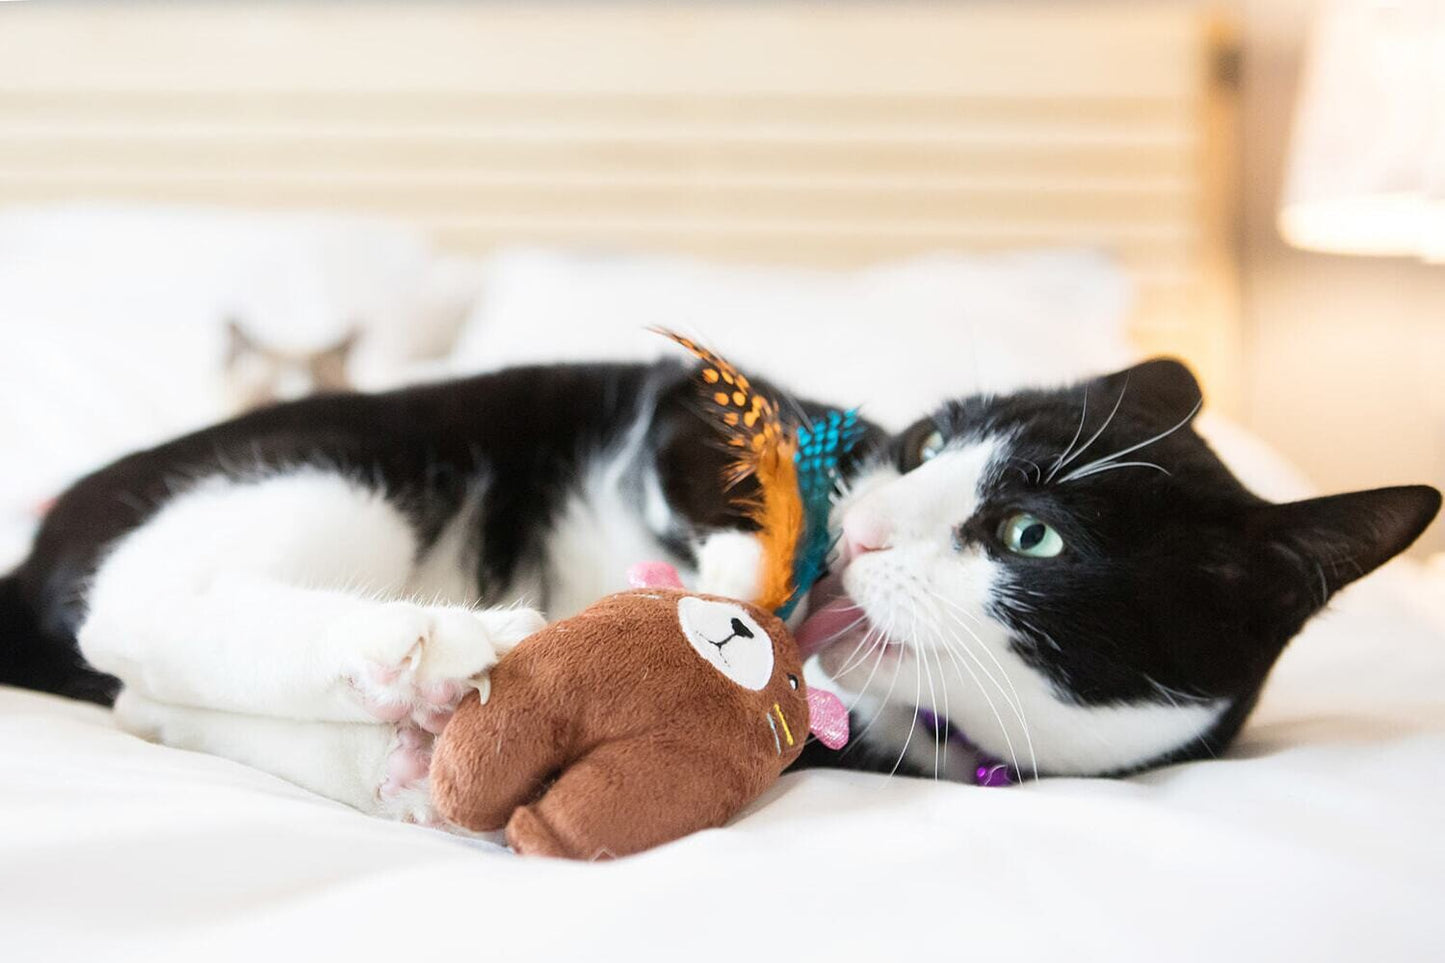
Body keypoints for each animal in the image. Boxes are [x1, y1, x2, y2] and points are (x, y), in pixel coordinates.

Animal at [0, 355, 1433, 815]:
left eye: (1032, 537)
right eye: (920, 443)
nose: (860, 528)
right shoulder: (676, 405)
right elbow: (695, 424)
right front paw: (750, 552)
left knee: (148, 698)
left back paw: (401, 749)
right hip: (339, 469)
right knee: (145, 613)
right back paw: (416, 650)